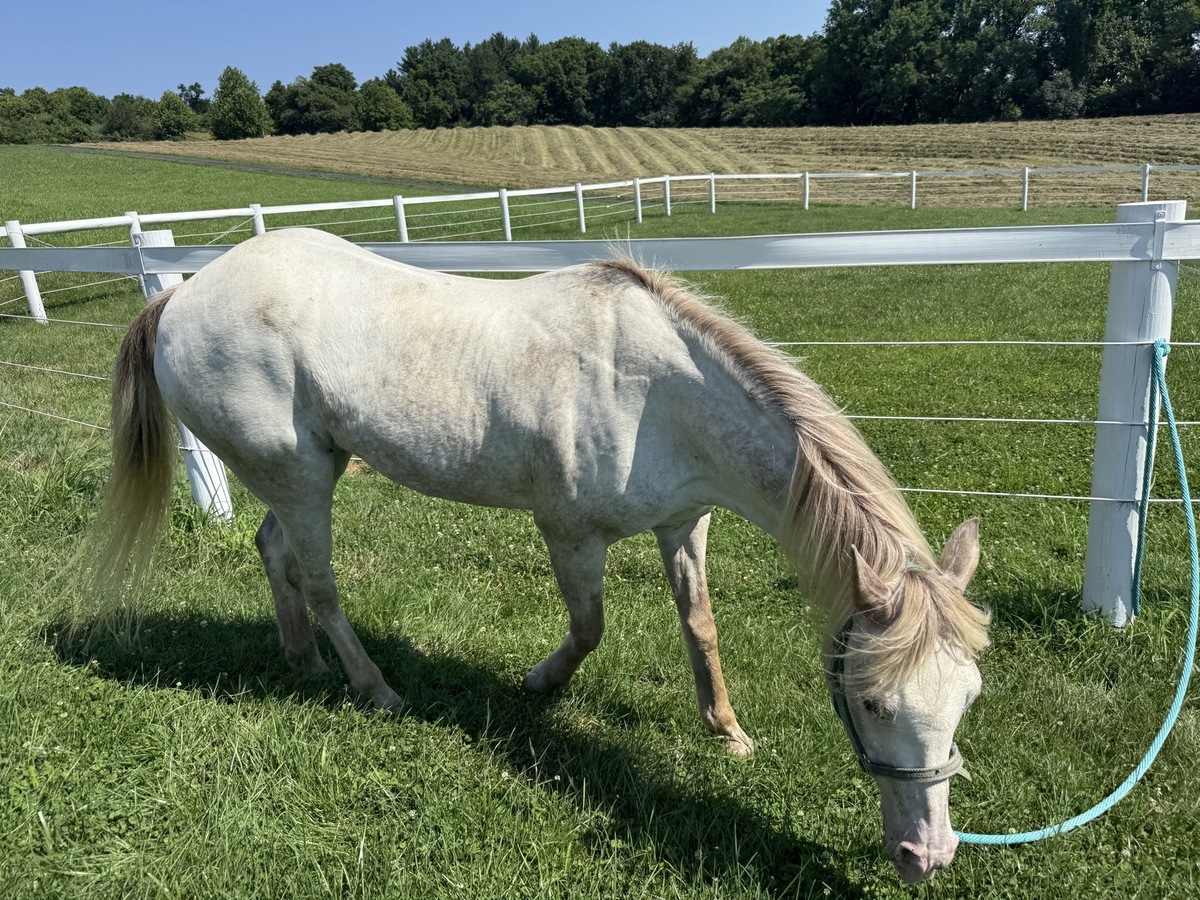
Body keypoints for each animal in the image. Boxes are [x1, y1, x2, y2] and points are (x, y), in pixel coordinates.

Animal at [84, 227, 990, 884]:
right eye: (871, 702)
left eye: (968, 698)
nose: (928, 857)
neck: (660, 395)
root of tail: (183, 294)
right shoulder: (569, 534)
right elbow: (589, 630)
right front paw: (536, 686)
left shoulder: (685, 524)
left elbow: (699, 626)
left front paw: (726, 731)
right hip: (300, 476)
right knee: (321, 579)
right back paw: (375, 689)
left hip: (306, 470)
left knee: (275, 553)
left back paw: (302, 662)